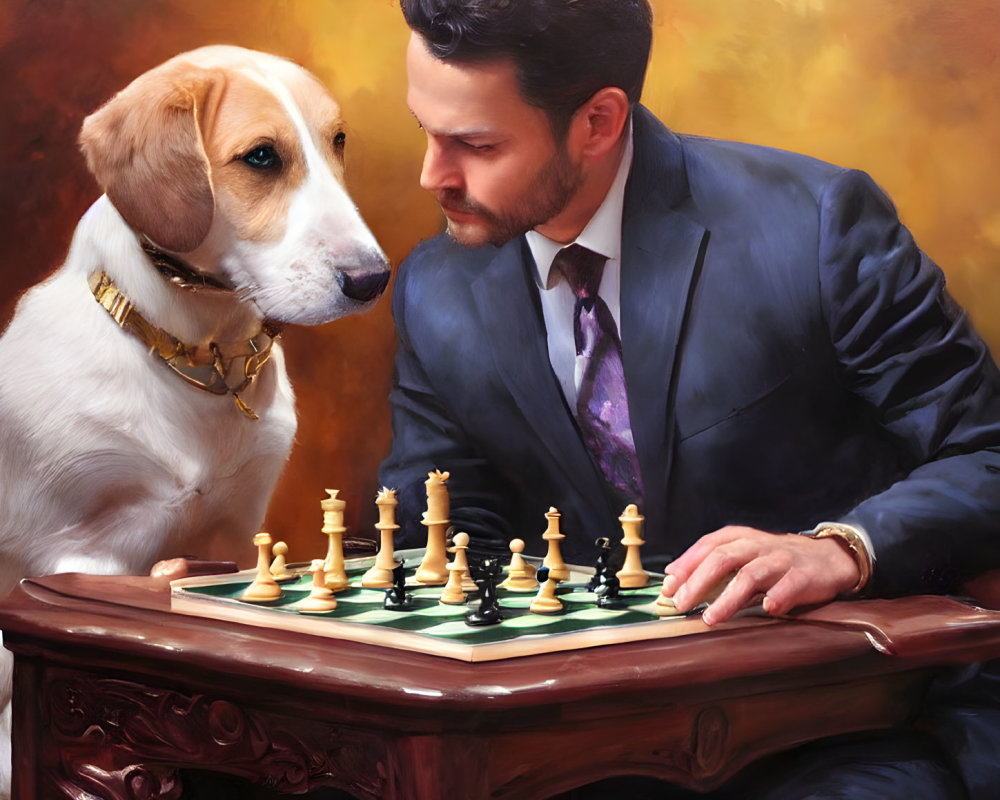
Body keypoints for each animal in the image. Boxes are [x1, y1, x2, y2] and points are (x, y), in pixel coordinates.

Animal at [0, 45, 390, 792]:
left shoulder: (238, 534)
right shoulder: (76, 550)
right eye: (261, 157)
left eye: (338, 142)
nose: (372, 280)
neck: (201, 357)